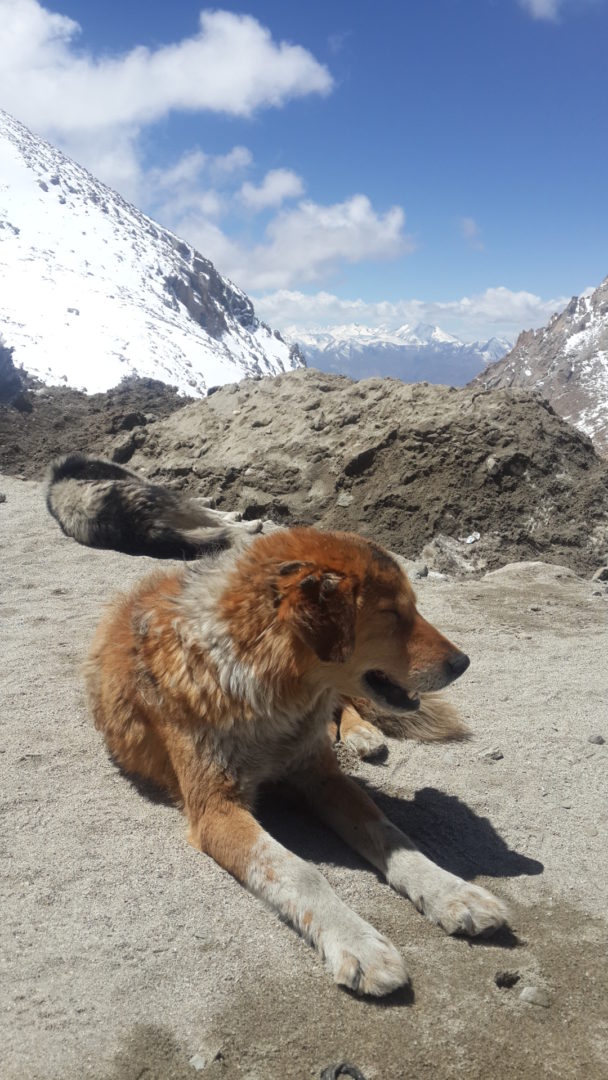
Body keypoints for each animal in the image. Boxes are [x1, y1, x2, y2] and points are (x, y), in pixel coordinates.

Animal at [85, 524, 509, 993]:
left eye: (412, 608)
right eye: (392, 614)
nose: (463, 662)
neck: (271, 695)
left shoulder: (322, 776)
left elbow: (391, 834)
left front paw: (450, 891)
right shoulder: (216, 809)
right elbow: (298, 871)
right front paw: (358, 943)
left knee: (346, 703)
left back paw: (363, 732)